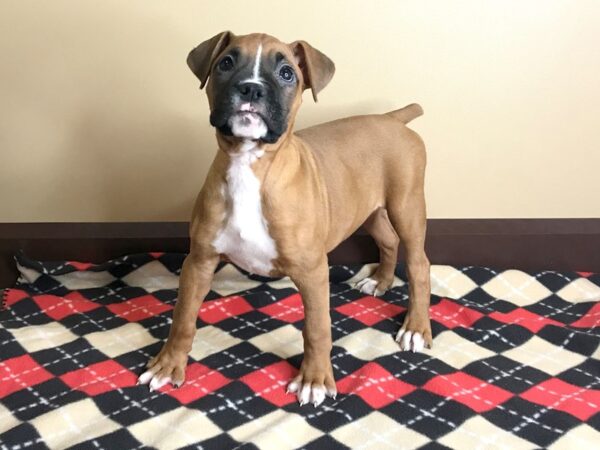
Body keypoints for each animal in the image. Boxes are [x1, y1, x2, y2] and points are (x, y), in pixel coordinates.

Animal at [139, 32, 432, 408]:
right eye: (226, 63)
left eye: (287, 73)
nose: (251, 89)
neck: (251, 163)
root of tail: (393, 119)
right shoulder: (200, 261)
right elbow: (183, 317)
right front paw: (168, 364)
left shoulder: (313, 271)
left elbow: (317, 328)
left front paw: (315, 380)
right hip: (368, 209)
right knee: (388, 240)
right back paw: (379, 281)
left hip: (406, 206)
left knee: (419, 265)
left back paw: (415, 328)